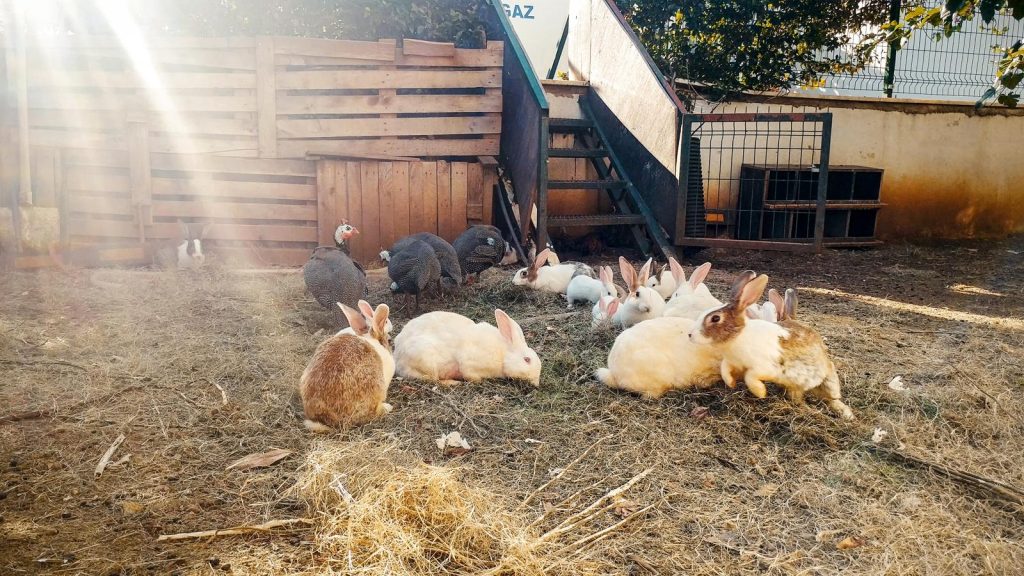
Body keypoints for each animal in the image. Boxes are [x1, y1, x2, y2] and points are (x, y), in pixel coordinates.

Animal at [393, 309, 541, 387]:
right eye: (527, 360)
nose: (536, 383)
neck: (503, 355)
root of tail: (397, 357)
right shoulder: (469, 363)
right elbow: (471, 375)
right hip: (426, 361)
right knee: (434, 380)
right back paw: (453, 383)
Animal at [688, 271, 854, 420]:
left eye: (715, 318)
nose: (690, 335)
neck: (738, 336)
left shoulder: (765, 367)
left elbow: (751, 376)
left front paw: (761, 392)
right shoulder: (730, 362)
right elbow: (725, 371)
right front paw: (732, 384)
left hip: (828, 382)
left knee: (832, 399)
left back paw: (845, 414)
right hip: (794, 388)